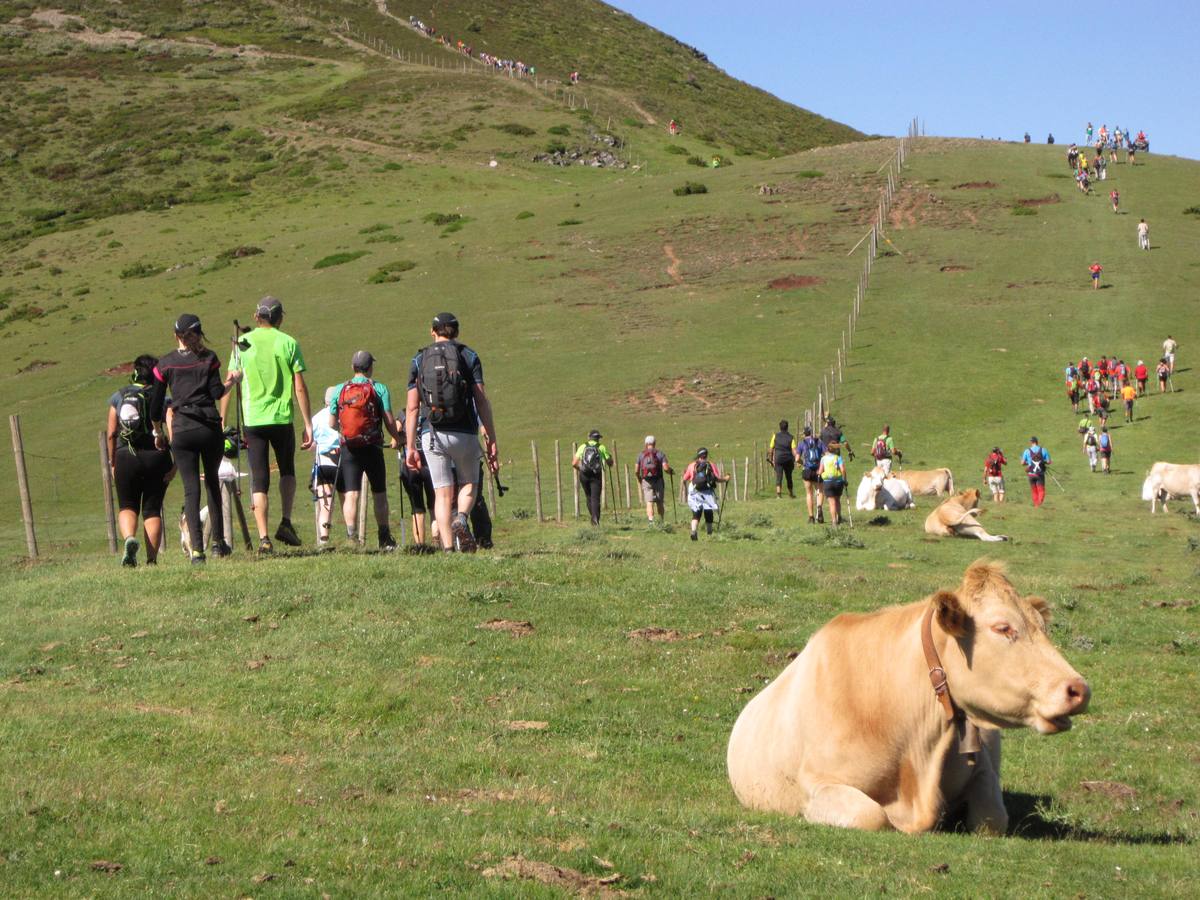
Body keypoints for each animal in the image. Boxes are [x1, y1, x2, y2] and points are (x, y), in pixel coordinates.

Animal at [724, 561, 1094, 835]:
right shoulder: (817, 783)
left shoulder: (985, 771)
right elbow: (871, 816)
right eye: (1003, 628)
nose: (1079, 689)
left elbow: (992, 819)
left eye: (1042, 627)